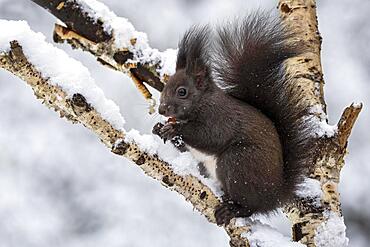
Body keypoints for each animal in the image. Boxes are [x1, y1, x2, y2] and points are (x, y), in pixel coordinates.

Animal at [152, 13, 316, 226]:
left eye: (182, 92)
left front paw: (175, 129)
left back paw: (232, 210)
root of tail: (275, 195)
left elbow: (209, 137)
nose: (162, 109)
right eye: (165, 86)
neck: (203, 103)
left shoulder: (220, 118)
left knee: (250, 207)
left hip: (238, 161)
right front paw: (158, 128)